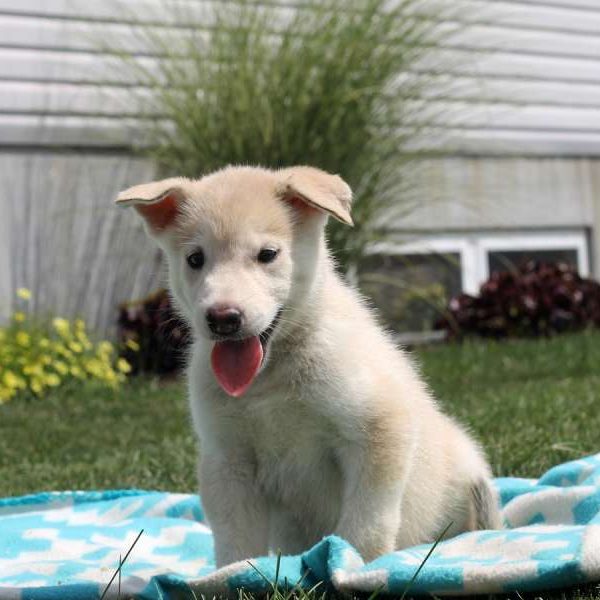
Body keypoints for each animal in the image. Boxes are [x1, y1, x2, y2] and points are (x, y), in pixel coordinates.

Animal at [115, 165, 500, 568]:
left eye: (267, 254)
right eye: (195, 259)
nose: (223, 319)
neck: (271, 376)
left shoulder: (379, 429)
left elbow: (365, 524)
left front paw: (351, 565)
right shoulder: (228, 459)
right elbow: (236, 541)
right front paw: (236, 574)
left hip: (477, 484)